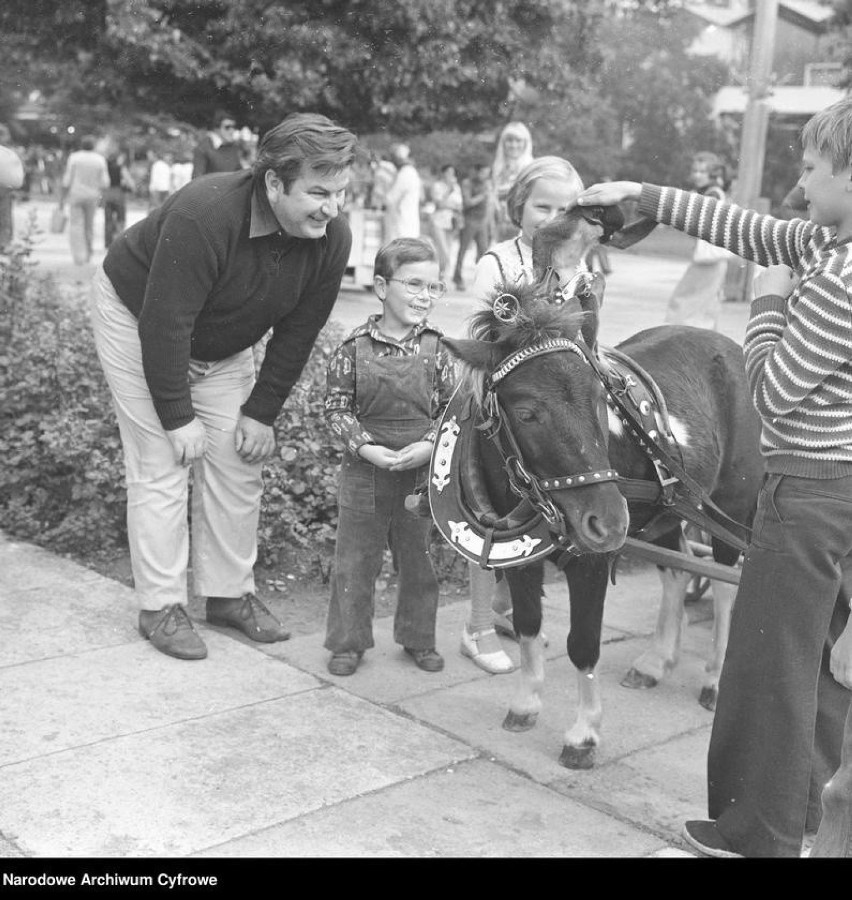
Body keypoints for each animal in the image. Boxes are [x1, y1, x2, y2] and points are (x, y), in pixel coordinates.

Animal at [430, 206, 764, 768]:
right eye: (527, 411)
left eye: (600, 397)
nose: (606, 521)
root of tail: (729, 347)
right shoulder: (522, 560)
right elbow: (528, 625)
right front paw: (526, 703)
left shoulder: (591, 560)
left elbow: (583, 643)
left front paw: (584, 734)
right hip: (665, 512)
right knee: (677, 570)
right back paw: (655, 661)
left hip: (728, 506)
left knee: (722, 584)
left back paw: (715, 679)